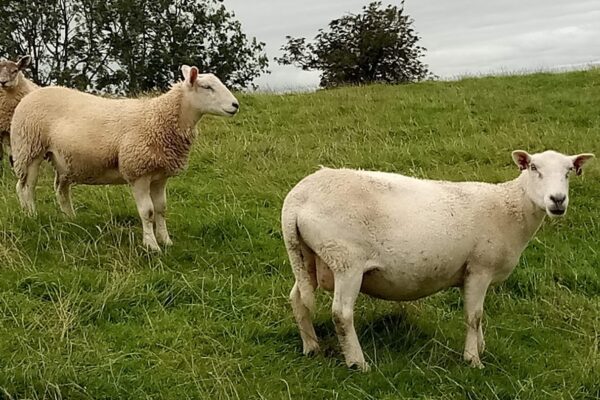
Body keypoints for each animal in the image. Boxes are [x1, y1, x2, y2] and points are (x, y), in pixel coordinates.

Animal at [9, 64, 239, 252]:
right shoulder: (138, 171)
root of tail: (29, 96)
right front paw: (151, 246)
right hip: (29, 148)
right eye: (207, 87)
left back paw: (70, 220)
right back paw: (32, 217)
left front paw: (166, 241)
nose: (235, 105)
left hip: (64, 159)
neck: (158, 118)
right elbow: (147, 212)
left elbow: (161, 209)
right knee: (25, 188)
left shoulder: (160, 175)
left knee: (60, 190)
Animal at [282, 150, 596, 372]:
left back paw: (311, 347)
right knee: (341, 313)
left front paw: (480, 346)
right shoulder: (479, 268)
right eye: (534, 168)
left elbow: (478, 315)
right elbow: (474, 316)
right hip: (346, 260)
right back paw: (358, 363)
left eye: (569, 172)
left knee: (298, 299)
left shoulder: (472, 274)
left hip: (307, 256)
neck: (509, 207)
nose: (558, 200)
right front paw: (473, 359)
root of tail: (296, 199)